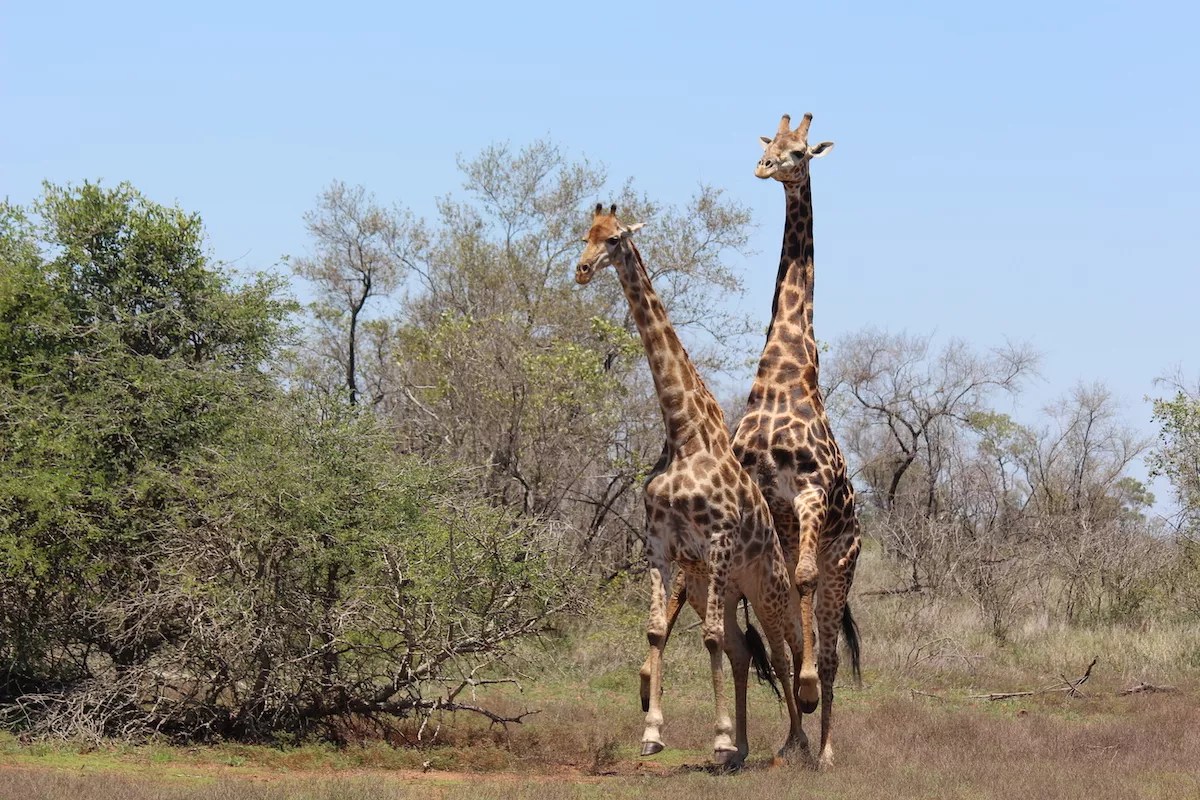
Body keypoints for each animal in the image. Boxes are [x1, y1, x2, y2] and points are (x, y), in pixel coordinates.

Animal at [576, 204, 809, 767]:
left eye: (613, 239)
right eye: (583, 235)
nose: (582, 270)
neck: (683, 433)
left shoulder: (718, 541)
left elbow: (707, 640)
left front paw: (718, 736)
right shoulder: (661, 545)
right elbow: (659, 630)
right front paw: (655, 733)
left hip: (766, 585)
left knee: (784, 651)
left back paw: (797, 746)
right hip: (711, 585)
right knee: (744, 649)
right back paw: (742, 750)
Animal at [639, 113, 862, 769]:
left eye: (799, 152)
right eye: (769, 145)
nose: (766, 169)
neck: (783, 377)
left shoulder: (808, 490)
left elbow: (804, 591)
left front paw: (803, 704)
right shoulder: (756, 501)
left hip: (844, 565)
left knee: (826, 647)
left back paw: (822, 747)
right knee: (775, 633)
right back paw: (777, 743)